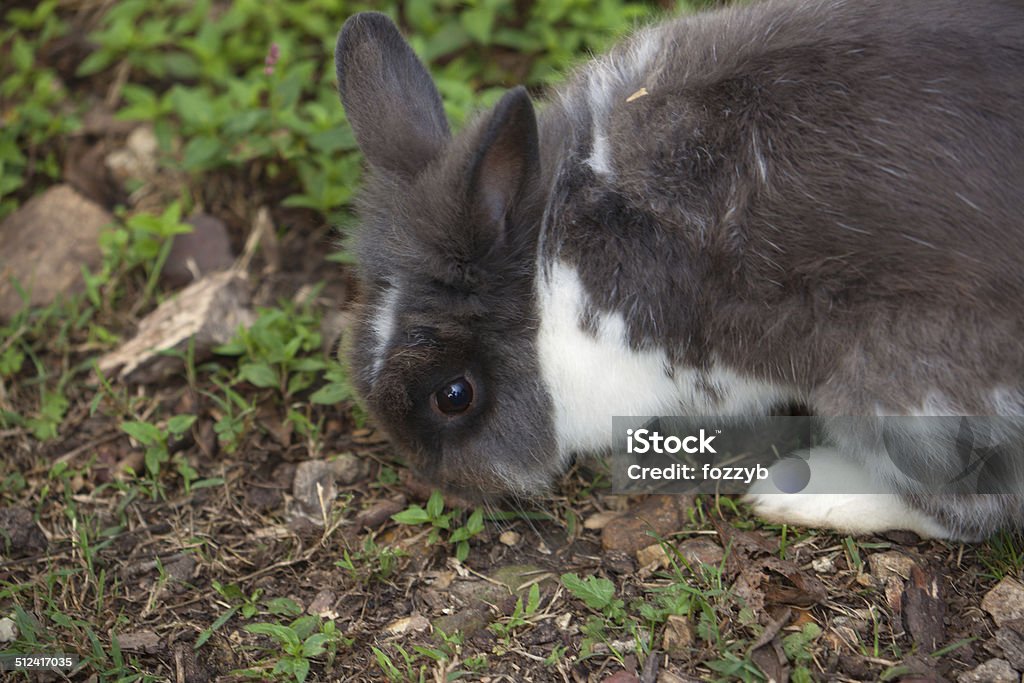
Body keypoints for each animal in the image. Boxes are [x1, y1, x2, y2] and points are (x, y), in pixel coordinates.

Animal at [335, 1, 1024, 544]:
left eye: (455, 396)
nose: (444, 486)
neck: (550, 273)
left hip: (901, 392)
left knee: (966, 510)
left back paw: (797, 491)